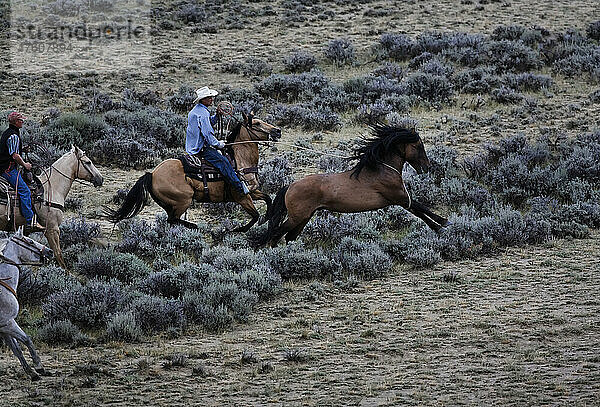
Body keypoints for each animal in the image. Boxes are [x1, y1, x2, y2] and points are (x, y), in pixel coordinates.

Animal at [0, 228, 53, 380]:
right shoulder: (8, 323)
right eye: (30, 241)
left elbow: (16, 348)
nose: (50, 251)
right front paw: (38, 367)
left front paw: (31, 372)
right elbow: (27, 340)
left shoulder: (4, 328)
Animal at [106, 113, 282, 233]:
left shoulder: (252, 191)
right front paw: (237, 229)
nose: (278, 131)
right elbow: (254, 216)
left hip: (170, 203)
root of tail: (152, 174)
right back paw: (196, 226)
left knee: (171, 220)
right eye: (257, 123)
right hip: (184, 200)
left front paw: (267, 218)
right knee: (173, 219)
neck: (239, 160)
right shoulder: (242, 196)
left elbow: (267, 199)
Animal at [260, 124, 448, 245]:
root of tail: (290, 186)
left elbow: (419, 211)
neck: (381, 170)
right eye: (418, 146)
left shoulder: (401, 200)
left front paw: (438, 227)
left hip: (303, 218)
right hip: (297, 218)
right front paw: (444, 222)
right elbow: (421, 207)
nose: (427, 167)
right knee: (276, 234)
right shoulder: (399, 197)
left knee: (288, 237)